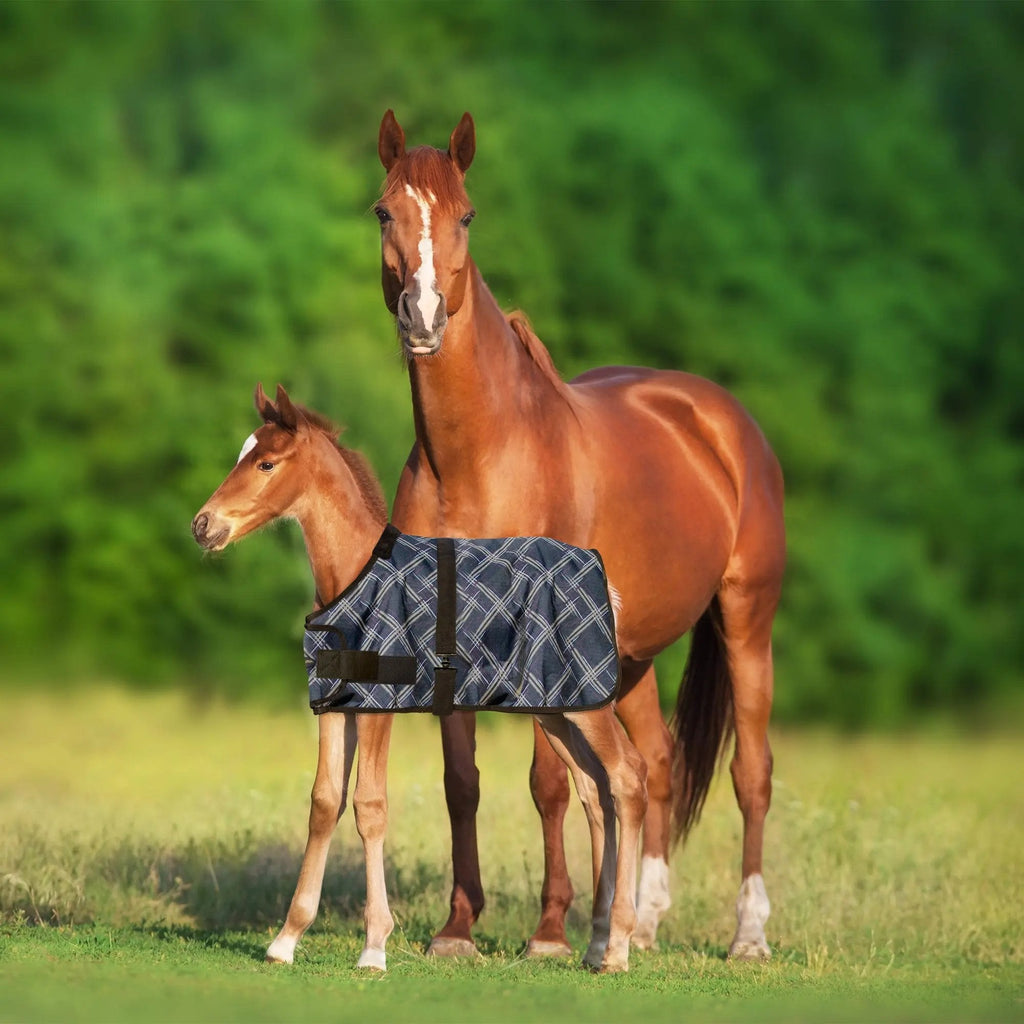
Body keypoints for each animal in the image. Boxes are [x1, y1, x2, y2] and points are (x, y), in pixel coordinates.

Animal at [191, 384, 648, 973]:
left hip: (585, 706)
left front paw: (374, 947)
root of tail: (602, 578)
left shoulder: (378, 706)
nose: (203, 526)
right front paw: (285, 940)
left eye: (266, 463)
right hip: (555, 709)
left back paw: (618, 946)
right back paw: (594, 945)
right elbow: (324, 803)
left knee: (628, 778)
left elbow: (369, 807)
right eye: (241, 455)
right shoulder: (334, 707)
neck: (353, 574)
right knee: (596, 790)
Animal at [375, 110, 786, 960]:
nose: (424, 319)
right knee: (657, 763)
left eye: (466, 216)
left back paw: (748, 935)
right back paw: (646, 919)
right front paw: (459, 928)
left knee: (752, 773)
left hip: (746, 618)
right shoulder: (449, 638)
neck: (479, 457)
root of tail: (721, 420)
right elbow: (462, 783)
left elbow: (549, 783)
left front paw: (551, 931)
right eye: (383, 212)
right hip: (630, 656)